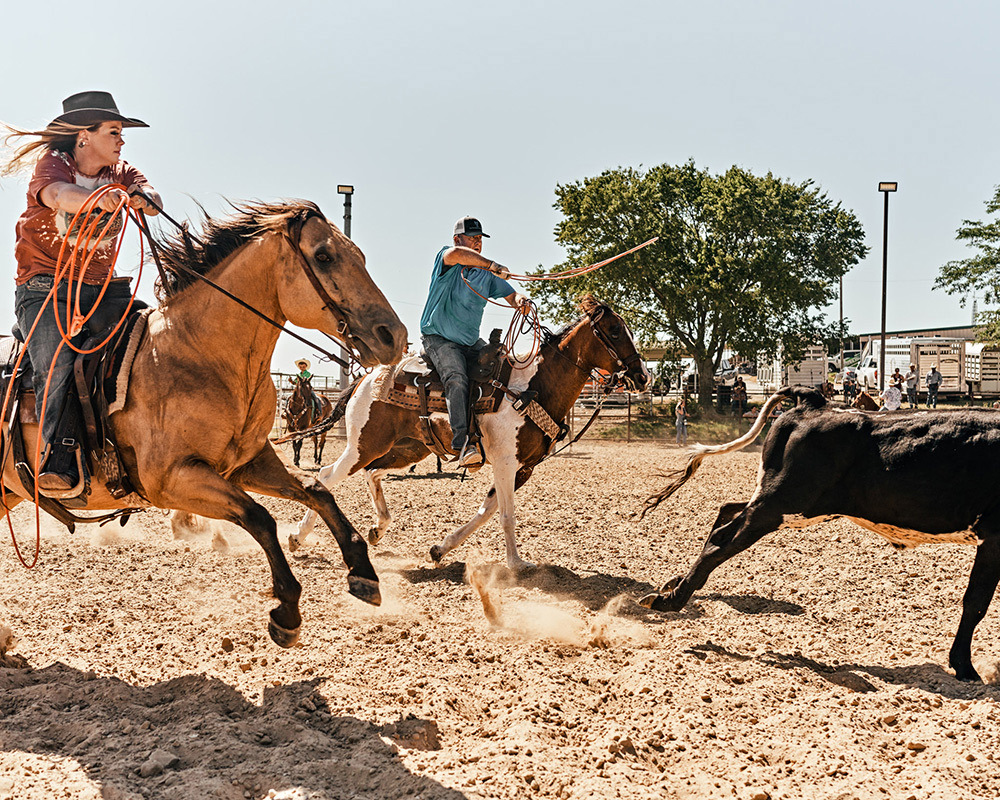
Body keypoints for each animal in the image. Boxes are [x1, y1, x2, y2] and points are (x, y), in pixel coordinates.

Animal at [1, 200, 406, 648]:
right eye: (323, 256)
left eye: (359, 255)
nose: (393, 335)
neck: (199, 353)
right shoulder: (172, 479)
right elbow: (259, 516)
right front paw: (286, 610)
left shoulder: (248, 462)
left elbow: (316, 489)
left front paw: (363, 574)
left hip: (8, 493)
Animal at [290, 298, 648, 568]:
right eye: (615, 331)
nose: (643, 375)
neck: (533, 387)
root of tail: (365, 378)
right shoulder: (505, 462)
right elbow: (506, 514)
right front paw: (516, 564)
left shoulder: (524, 468)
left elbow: (487, 511)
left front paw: (440, 549)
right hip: (365, 444)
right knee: (326, 474)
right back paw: (296, 537)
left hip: (407, 448)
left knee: (372, 473)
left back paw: (378, 529)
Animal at [640, 386, 1000, 680]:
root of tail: (815, 403)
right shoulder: (994, 538)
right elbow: (976, 603)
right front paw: (965, 667)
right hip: (779, 505)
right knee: (721, 540)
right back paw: (669, 599)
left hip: (784, 504)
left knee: (726, 511)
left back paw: (674, 585)